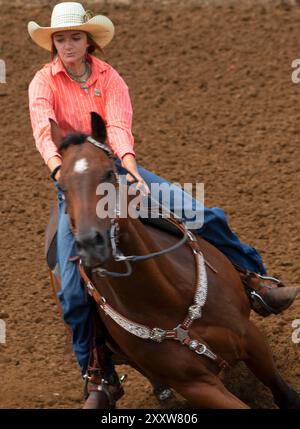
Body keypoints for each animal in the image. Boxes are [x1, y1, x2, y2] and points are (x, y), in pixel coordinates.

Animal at [49, 112, 300, 406]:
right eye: (61, 186)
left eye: (109, 173)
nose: (91, 244)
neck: (166, 297)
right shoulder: (196, 385)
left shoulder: (250, 337)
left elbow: (283, 393)